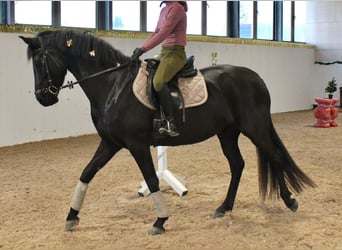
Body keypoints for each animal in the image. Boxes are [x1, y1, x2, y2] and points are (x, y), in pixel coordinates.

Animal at [20, 30, 316, 235]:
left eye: (40, 60)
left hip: (254, 128)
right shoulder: (110, 143)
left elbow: (152, 180)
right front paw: (71, 217)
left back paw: (290, 201)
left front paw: (160, 221)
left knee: (274, 157)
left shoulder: (136, 145)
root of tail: (256, 78)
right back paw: (224, 207)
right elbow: (86, 173)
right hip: (227, 133)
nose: (43, 98)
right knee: (238, 164)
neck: (113, 85)